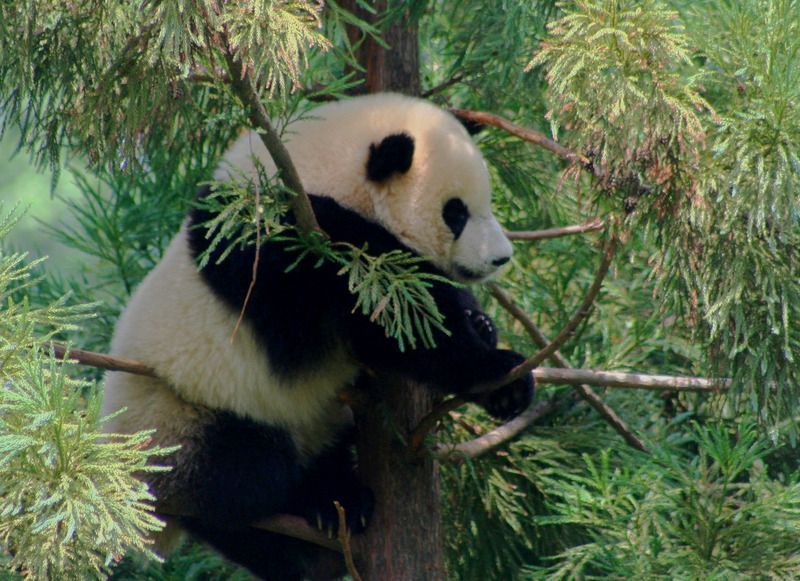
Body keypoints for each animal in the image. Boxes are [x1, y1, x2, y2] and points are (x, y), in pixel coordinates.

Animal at [103, 93, 536, 576]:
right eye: (456, 212)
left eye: (486, 202)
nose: (501, 257)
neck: (315, 170)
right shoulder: (275, 244)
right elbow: (390, 326)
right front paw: (498, 372)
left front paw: (484, 330)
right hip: (183, 416)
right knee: (245, 482)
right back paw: (314, 521)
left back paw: (337, 505)